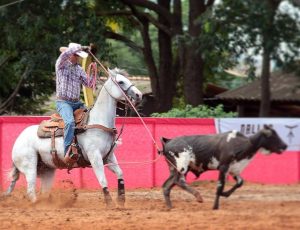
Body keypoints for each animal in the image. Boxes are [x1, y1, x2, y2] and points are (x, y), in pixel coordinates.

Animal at [4, 67, 142, 206]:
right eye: (121, 82)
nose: (139, 95)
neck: (97, 122)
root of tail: (18, 140)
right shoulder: (95, 156)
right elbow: (103, 180)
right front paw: (110, 204)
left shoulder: (108, 157)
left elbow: (120, 173)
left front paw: (121, 200)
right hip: (30, 167)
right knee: (31, 190)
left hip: (47, 170)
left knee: (43, 191)